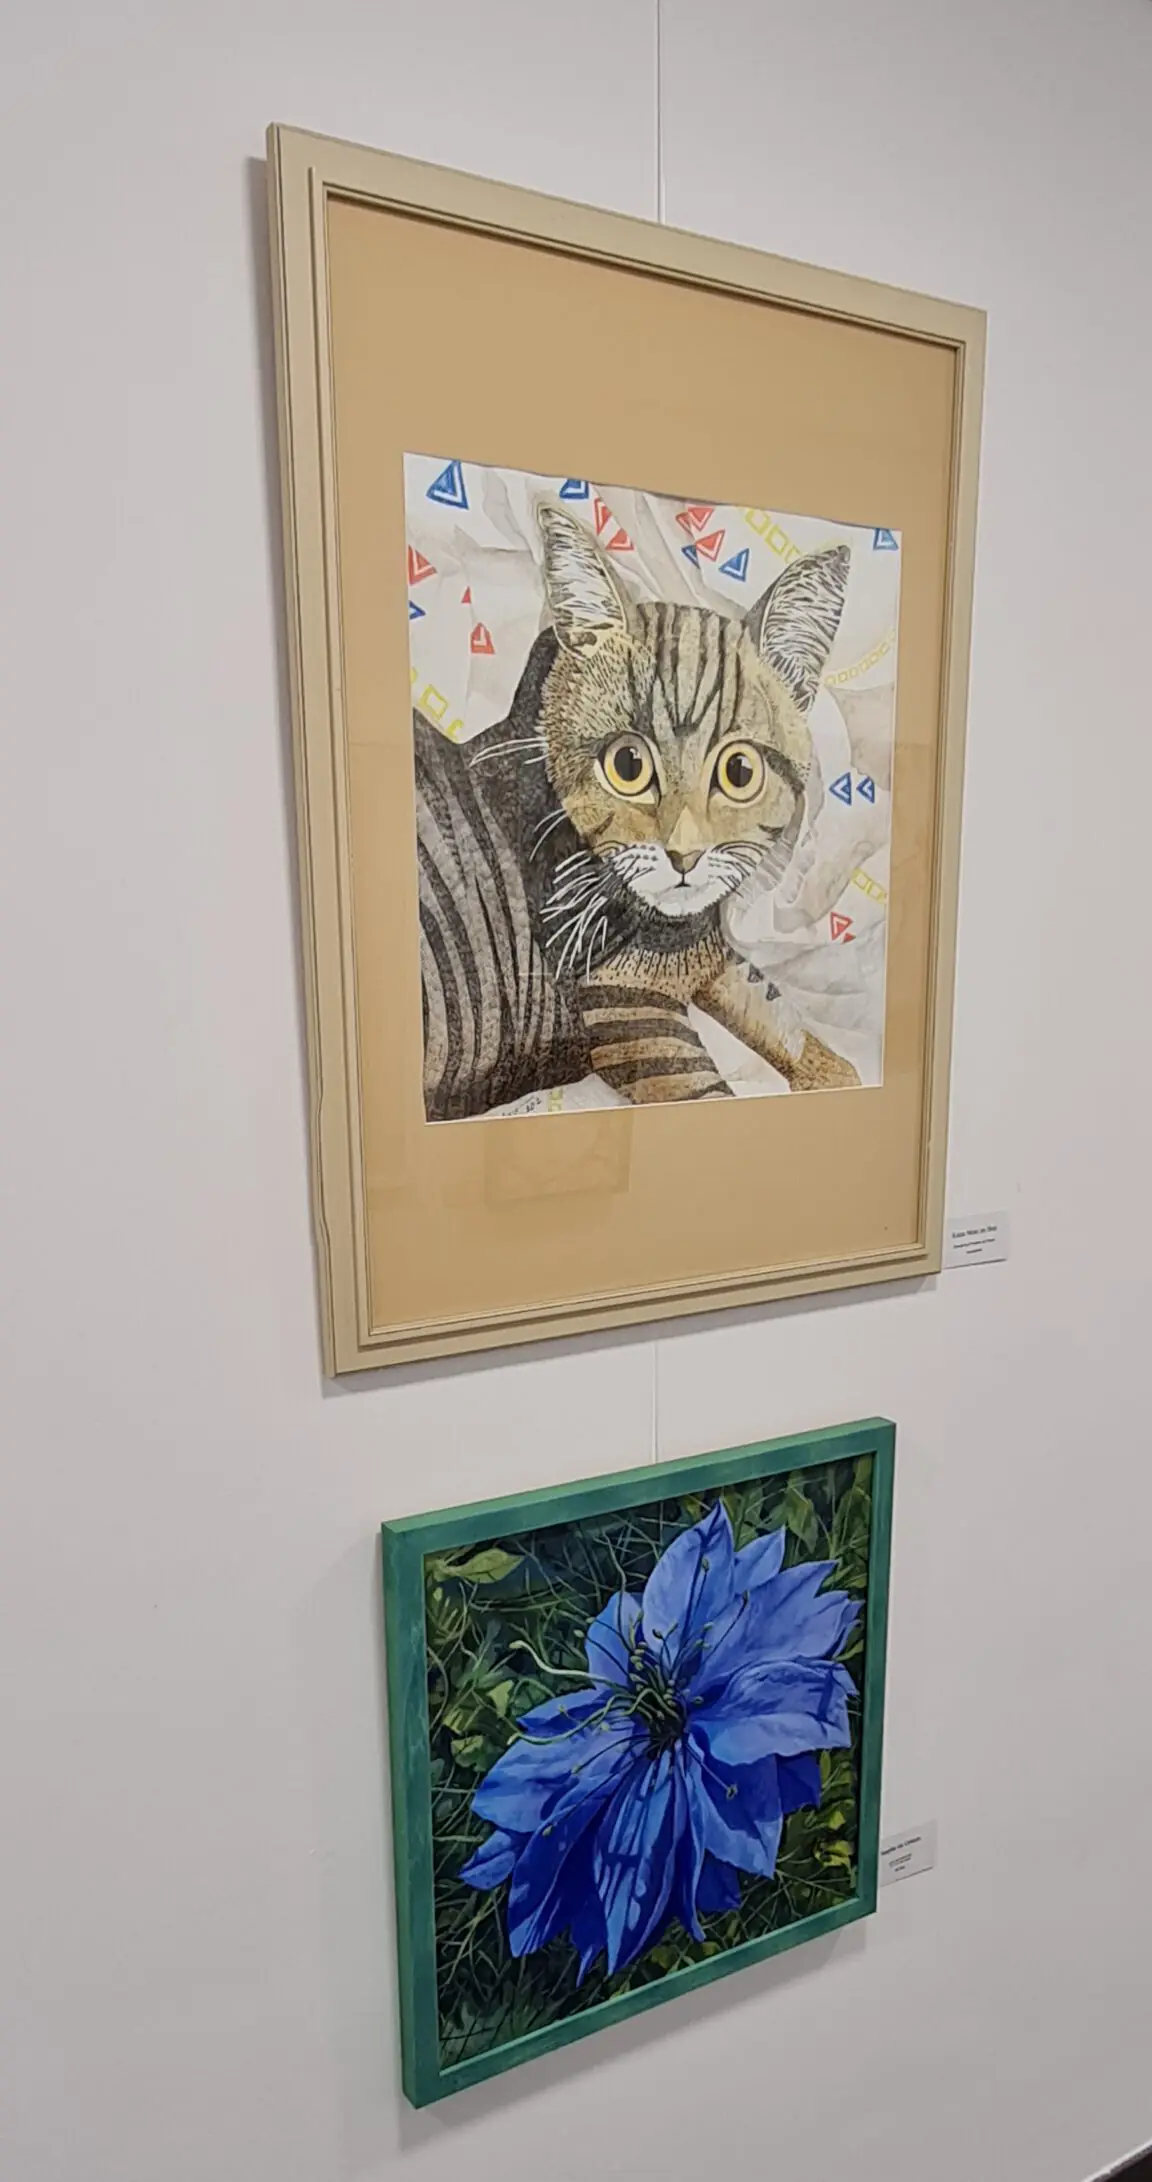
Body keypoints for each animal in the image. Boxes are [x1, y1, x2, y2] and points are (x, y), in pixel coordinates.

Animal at [415, 503, 860, 1122]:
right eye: (627, 764)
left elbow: (784, 1018)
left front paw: (837, 1077)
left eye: (739, 771)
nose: (685, 855)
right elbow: (710, 1092)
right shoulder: (630, 1009)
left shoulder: (712, 958)